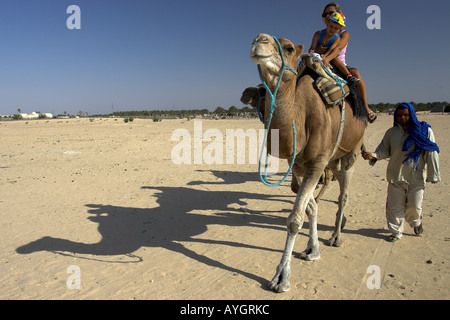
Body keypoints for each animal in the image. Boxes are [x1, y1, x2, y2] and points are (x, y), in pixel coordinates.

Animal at [248, 33, 368, 292]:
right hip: (333, 160)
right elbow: (309, 207)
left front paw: (281, 277)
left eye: (288, 48)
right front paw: (312, 249)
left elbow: (295, 219)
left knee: (344, 193)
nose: (259, 40)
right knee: (334, 180)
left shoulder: (317, 163)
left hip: (352, 151)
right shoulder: (299, 166)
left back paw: (336, 236)